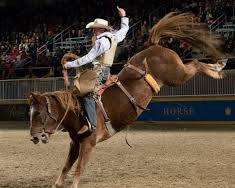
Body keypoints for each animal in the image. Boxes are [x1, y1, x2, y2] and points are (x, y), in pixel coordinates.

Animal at [28, 12, 228, 187]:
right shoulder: (75, 143)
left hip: (177, 75)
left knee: (196, 64)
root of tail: (154, 46)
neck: (77, 111)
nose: (34, 137)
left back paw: (218, 68)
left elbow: (79, 169)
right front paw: (57, 183)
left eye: (38, 113)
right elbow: (66, 166)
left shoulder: (88, 143)